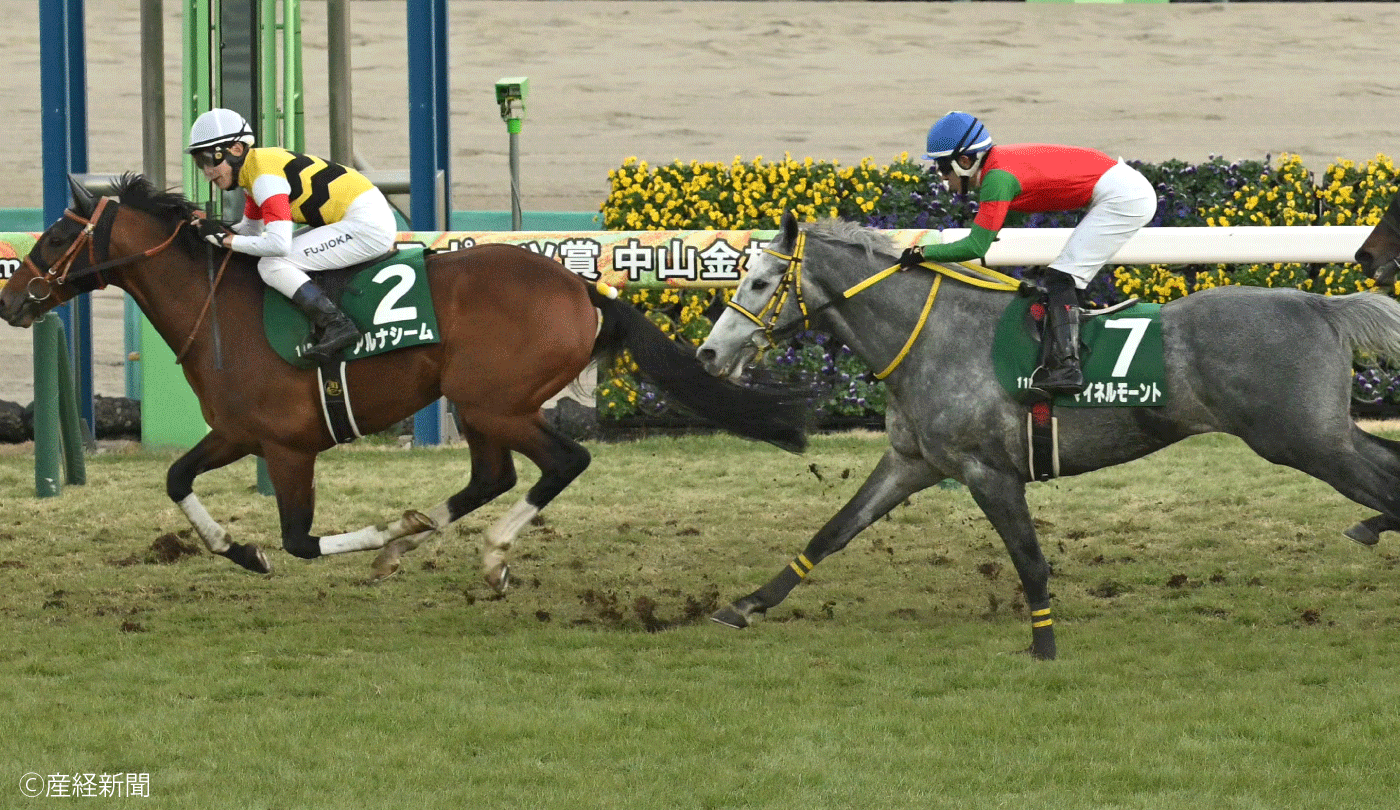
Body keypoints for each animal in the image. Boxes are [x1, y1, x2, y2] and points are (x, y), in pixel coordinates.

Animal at [0, 174, 808, 588]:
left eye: (55, 236)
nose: (12, 298)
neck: (220, 308)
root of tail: (582, 287)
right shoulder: (237, 433)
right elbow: (176, 479)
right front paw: (241, 548)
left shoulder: (288, 448)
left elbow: (300, 540)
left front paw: (313, 543)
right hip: (479, 405)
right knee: (491, 476)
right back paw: (418, 540)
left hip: (495, 400)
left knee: (562, 461)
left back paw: (490, 553)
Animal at [696, 210, 1400, 659]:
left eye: (759, 282)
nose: (708, 354)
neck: (933, 336)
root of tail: (1322, 305)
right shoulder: (912, 460)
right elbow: (834, 530)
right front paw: (744, 605)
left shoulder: (988, 471)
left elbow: (1030, 559)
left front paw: (1043, 643)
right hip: (1320, 433)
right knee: (1389, 468)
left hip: (1303, 440)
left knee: (1384, 485)